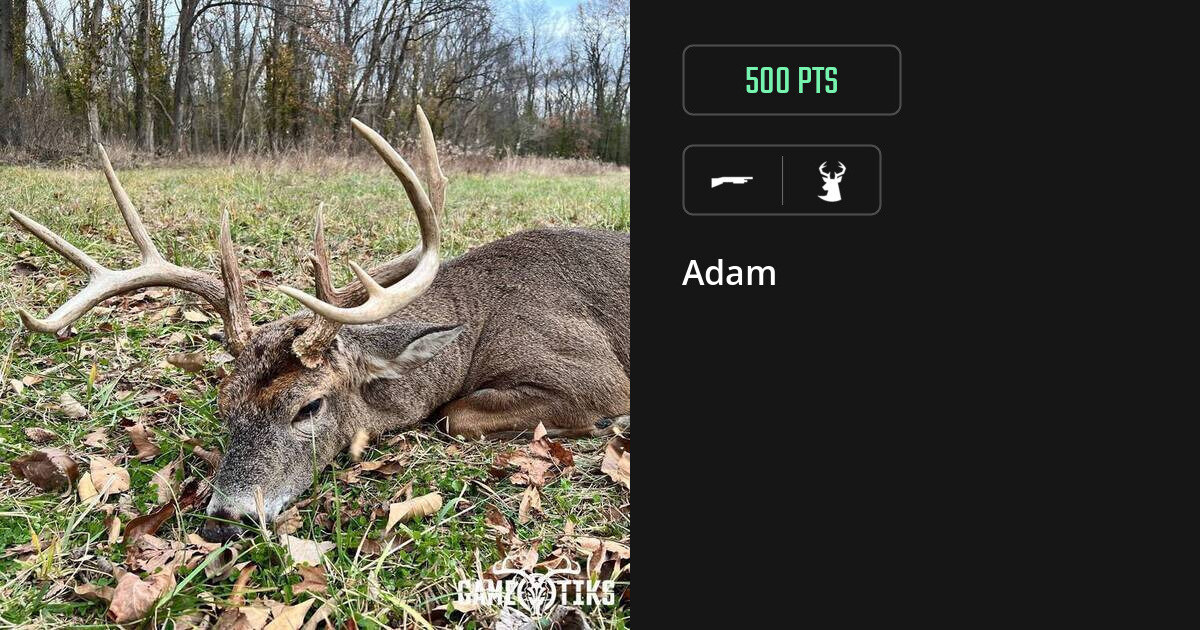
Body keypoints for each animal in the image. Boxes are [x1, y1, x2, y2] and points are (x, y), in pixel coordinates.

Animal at [7, 107, 630, 542]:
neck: (475, 321)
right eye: (224, 405)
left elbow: (454, 415)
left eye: (308, 406)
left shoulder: (593, 372)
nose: (223, 518)